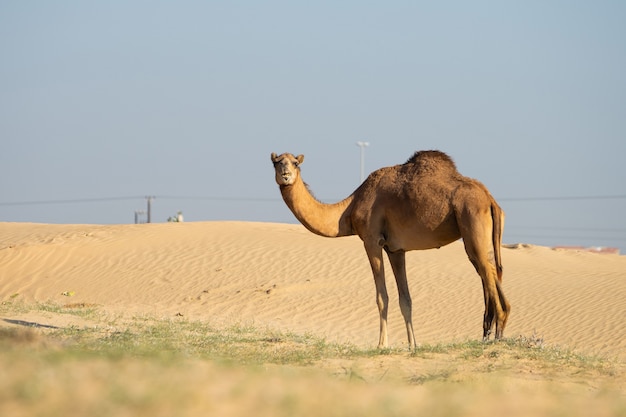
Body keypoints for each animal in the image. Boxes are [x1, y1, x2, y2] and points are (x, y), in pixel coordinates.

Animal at [270, 150, 510, 348]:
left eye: (295, 163)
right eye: (277, 162)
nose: (286, 175)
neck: (349, 209)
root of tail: (490, 199)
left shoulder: (371, 240)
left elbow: (381, 296)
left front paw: (381, 345)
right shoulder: (395, 250)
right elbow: (406, 299)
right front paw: (413, 345)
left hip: (471, 222)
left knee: (487, 270)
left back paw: (498, 333)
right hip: (478, 235)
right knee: (492, 270)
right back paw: (488, 334)